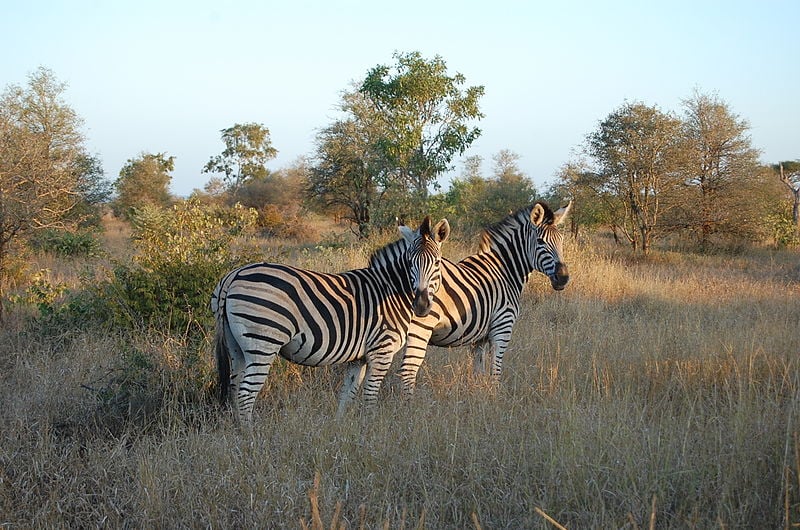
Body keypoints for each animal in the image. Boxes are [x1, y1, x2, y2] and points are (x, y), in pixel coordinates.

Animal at [211, 214, 450, 420]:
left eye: (437, 262)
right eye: (409, 262)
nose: (421, 306)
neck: (390, 289)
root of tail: (233, 275)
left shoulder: (359, 357)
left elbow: (348, 394)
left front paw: (341, 427)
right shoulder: (381, 350)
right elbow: (370, 396)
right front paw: (370, 428)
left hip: (236, 346)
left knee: (234, 389)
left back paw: (237, 431)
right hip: (263, 342)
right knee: (245, 394)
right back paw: (250, 437)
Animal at [396, 200, 572, 394]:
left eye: (561, 241)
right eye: (540, 241)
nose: (563, 277)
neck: (505, 270)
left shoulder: (479, 338)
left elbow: (478, 372)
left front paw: (478, 394)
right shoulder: (502, 328)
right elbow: (495, 372)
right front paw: (494, 397)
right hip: (421, 327)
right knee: (408, 371)